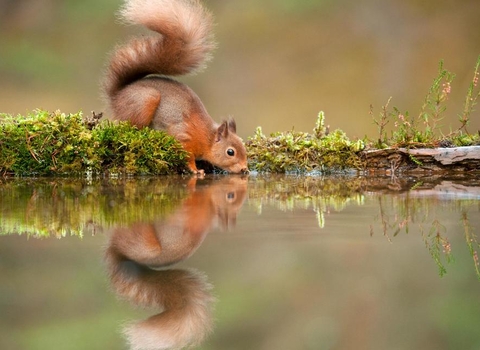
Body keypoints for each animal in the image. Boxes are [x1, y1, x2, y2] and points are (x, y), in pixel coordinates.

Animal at [103, 0, 249, 174]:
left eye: (244, 148)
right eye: (230, 152)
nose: (245, 169)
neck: (206, 137)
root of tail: (117, 95)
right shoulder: (183, 137)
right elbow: (187, 157)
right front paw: (196, 170)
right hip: (146, 100)